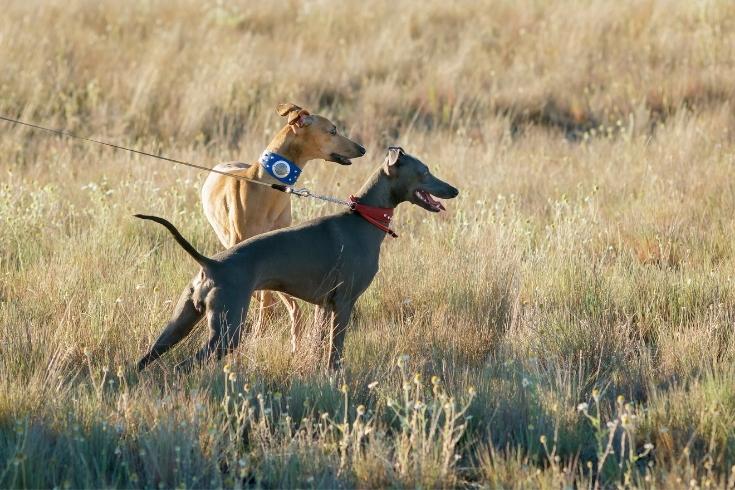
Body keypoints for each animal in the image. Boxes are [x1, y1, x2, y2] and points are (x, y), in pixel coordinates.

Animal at [137, 148, 458, 372]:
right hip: (226, 333)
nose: (454, 190)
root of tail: (211, 264)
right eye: (425, 171)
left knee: (144, 360)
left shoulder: (324, 307)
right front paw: (334, 377)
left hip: (179, 324)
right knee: (183, 367)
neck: (363, 219)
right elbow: (335, 352)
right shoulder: (345, 304)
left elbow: (319, 345)